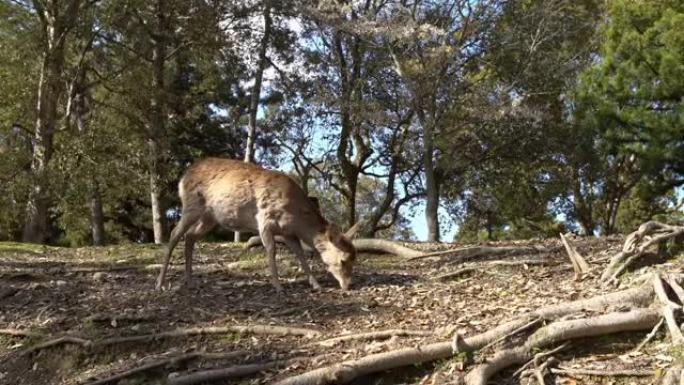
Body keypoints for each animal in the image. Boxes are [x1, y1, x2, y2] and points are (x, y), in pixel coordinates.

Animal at [154, 158, 358, 292]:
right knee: (174, 234)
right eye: (343, 260)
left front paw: (316, 284)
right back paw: (160, 283)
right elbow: (271, 250)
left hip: (209, 217)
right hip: (191, 206)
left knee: (189, 236)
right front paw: (278, 286)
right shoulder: (264, 219)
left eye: (354, 259)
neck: (296, 217)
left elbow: (300, 255)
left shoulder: (289, 232)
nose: (349, 285)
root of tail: (182, 178)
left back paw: (190, 280)